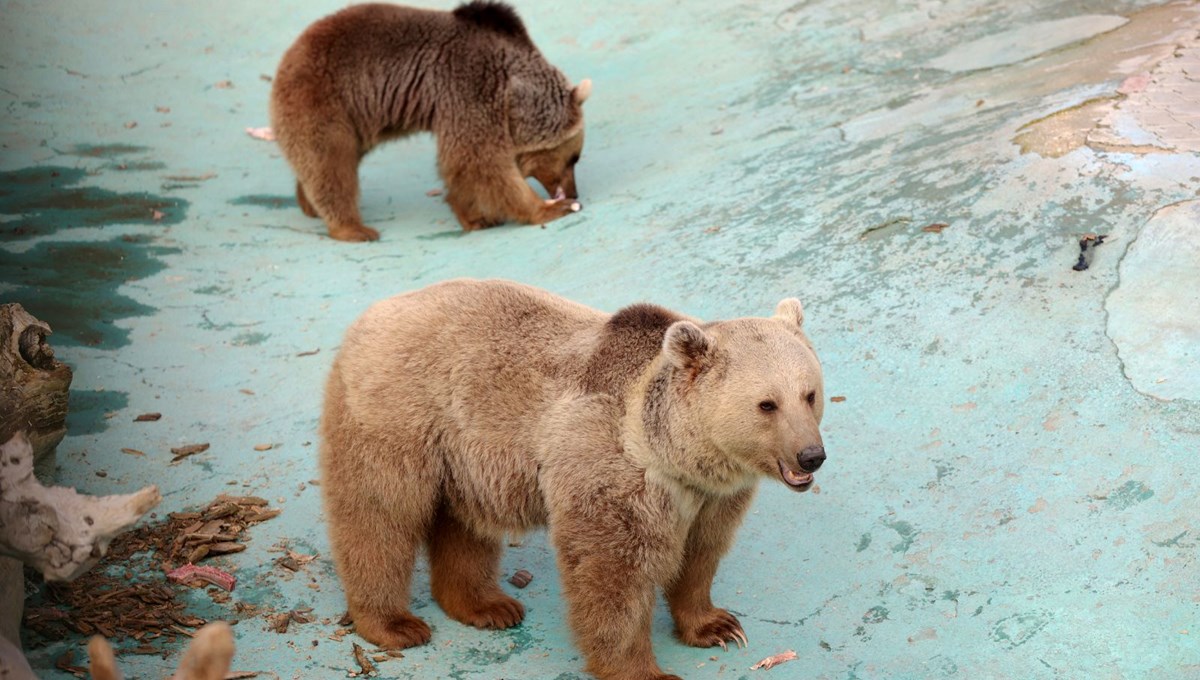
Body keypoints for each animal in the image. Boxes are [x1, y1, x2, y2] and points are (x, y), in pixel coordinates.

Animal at [270, 1, 592, 242]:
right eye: (573, 158)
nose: (574, 192)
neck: (510, 92)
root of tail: (286, 59)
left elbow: (464, 164)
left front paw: (474, 215)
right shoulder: (470, 86)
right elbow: (479, 160)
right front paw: (549, 208)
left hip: (357, 119)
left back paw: (307, 203)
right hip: (324, 101)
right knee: (331, 165)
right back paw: (353, 228)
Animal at [316, 279, 825, 676]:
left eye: (809, 393)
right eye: (767, 404)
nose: (811, 456)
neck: (675, 454)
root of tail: (372, 313)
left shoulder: (710, 497)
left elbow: (701, 554)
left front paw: (718, 625)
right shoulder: (609, 468)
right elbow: (612, 574)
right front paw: (644, 669)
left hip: (465, 456)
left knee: (463, 524)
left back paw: (487, 605)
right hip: (399, 413)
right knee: (379, 516)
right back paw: (394, 623)